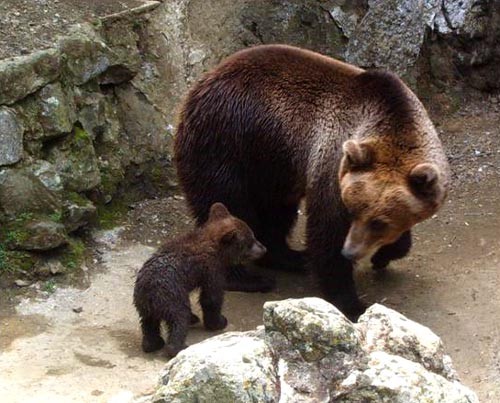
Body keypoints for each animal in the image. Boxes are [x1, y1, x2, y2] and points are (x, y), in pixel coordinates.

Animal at [174, 44, 452, 318]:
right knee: (231, 206)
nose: (350, 251)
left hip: (272, 164)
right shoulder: (332, 166)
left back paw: (290, 257)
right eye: (351, 210)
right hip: (227, 146)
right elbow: (327, 232)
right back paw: (249, 278)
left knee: (276, 212)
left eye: (379, 222)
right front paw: (352, 303)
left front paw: (385, 254)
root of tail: (200, 84)